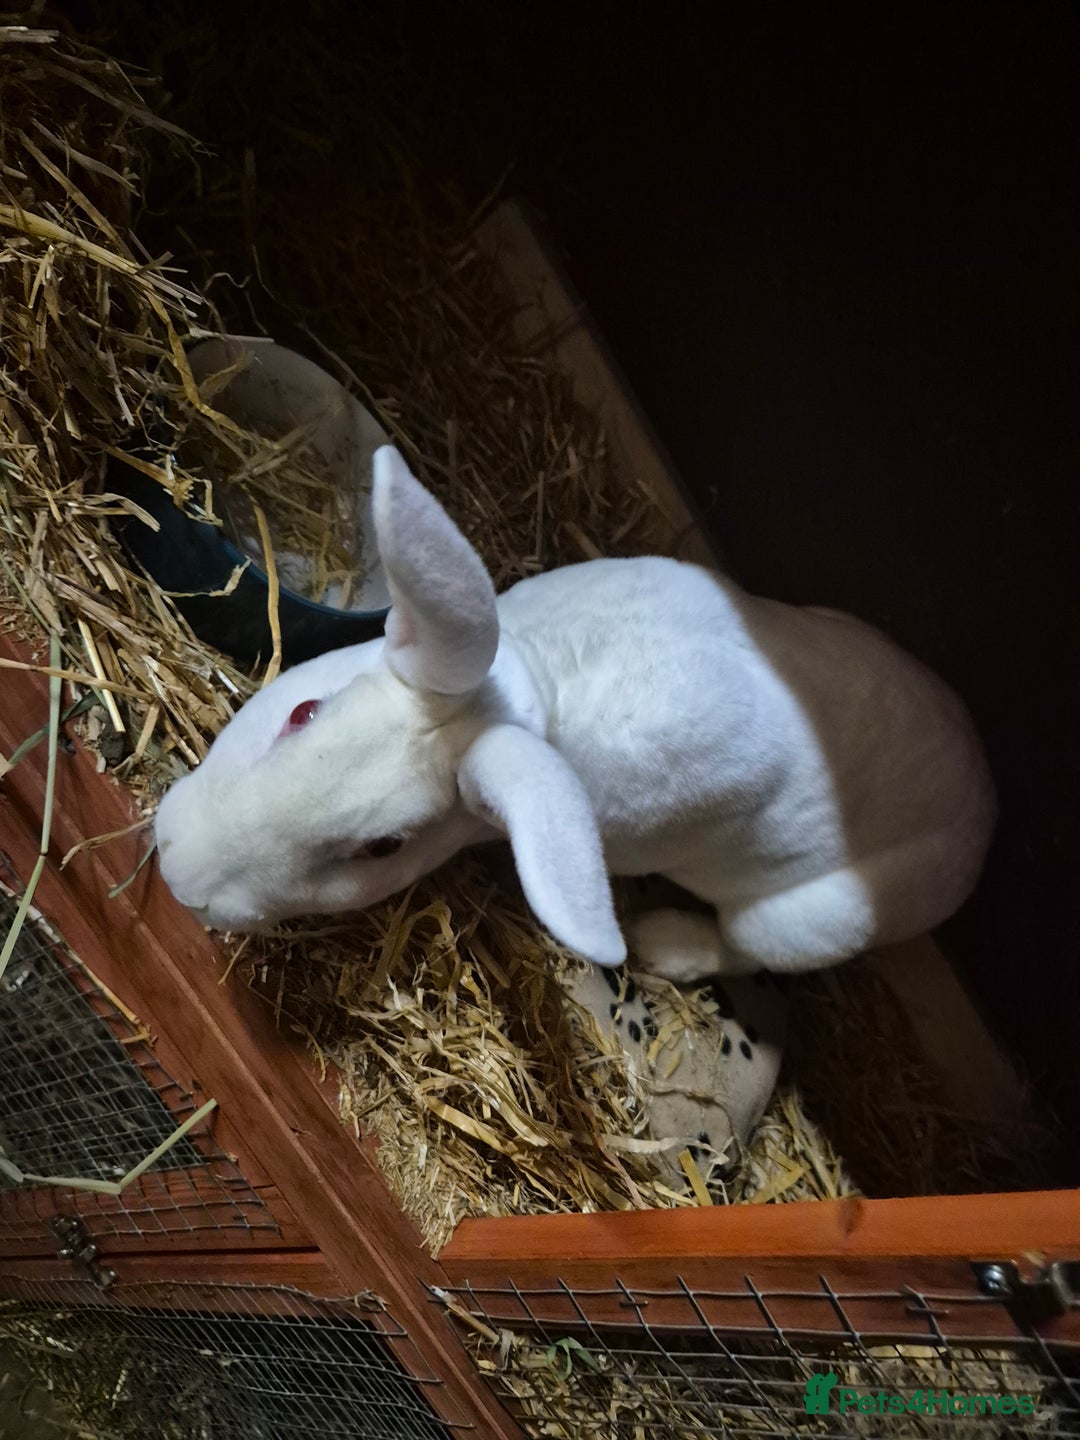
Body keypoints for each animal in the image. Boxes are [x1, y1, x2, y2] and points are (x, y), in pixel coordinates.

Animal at [154, 445, 996, 981]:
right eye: (302, 712)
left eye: (384, 848)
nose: (178, 871)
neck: (523, 689)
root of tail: (981, 811)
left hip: (811, 921)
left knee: (748, 952)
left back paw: (665, 946)